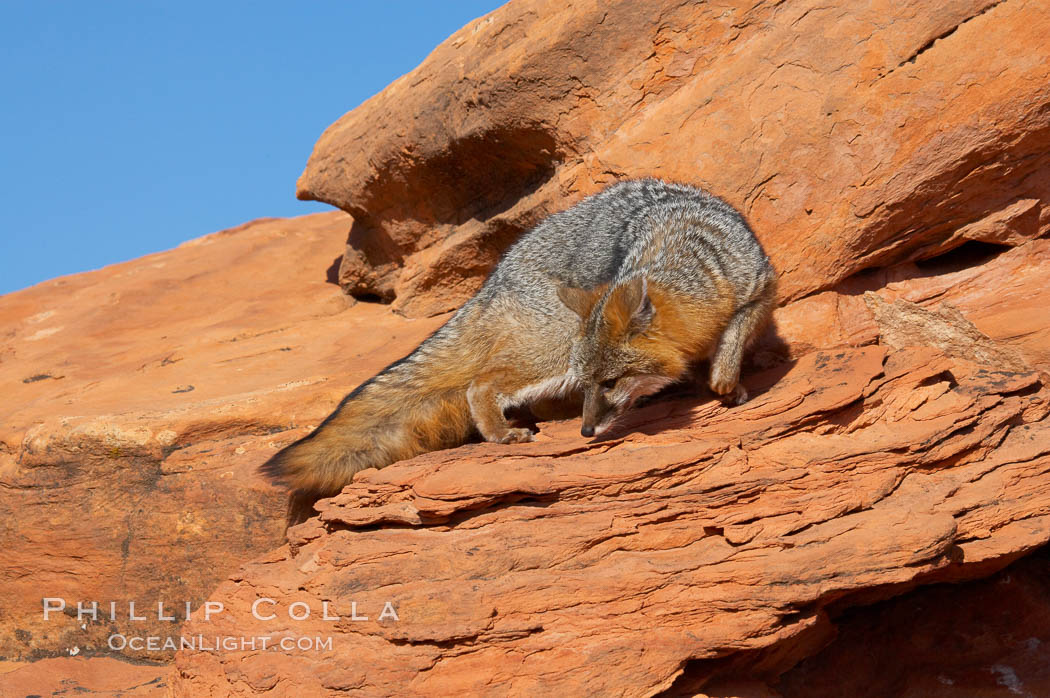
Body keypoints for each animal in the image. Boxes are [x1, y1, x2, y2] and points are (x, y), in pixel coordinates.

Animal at [261, 177, 776, 520]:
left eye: (610, 382)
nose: (587, 433)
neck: (693, 258)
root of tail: (493, 280)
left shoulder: (759, 287)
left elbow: (729, 348)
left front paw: (725, 381)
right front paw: (727, 387)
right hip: (554, 349)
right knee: (480, 383)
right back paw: (502, 434)